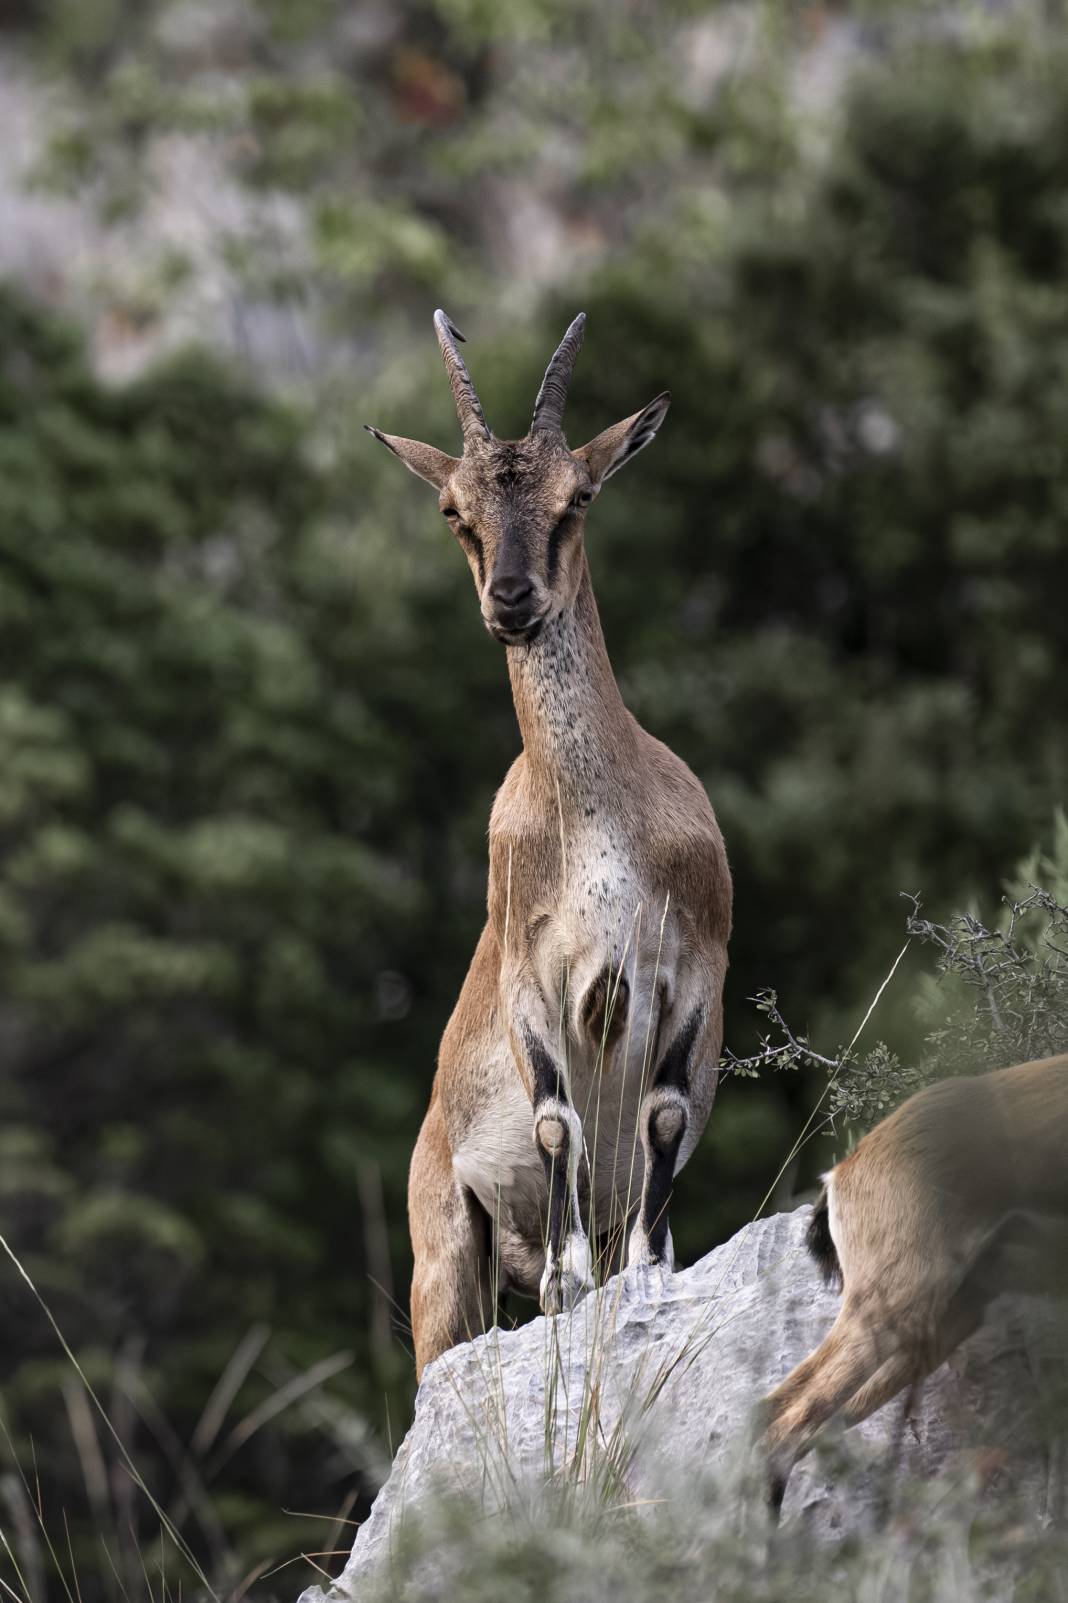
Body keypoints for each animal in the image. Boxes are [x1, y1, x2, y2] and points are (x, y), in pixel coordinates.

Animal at [368, 312, 731, 1378]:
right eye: (455, 509)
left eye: (578, 497)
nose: (513, 600)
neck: (598, 820)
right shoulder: (536, 976)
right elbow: (555, 1120)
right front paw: (574, 1284)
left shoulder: (691, 964)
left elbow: (663, 1113)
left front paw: (652, 1270)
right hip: (448, 1259)